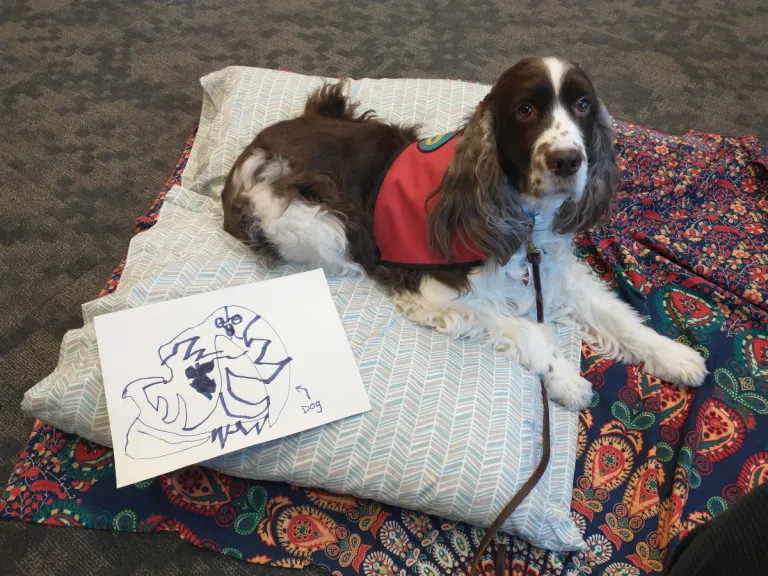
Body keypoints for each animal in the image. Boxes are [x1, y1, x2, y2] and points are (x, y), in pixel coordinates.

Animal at [220, 57, 708, 410]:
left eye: (583, 105)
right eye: (525, 110)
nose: (568, 160)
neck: (523, 220)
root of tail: (243, 157)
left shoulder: (554, 269)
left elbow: (616, 315)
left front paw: (676, 356)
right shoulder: (433, 291)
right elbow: (527, 329)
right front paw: (568, 380)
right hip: (313, 224)